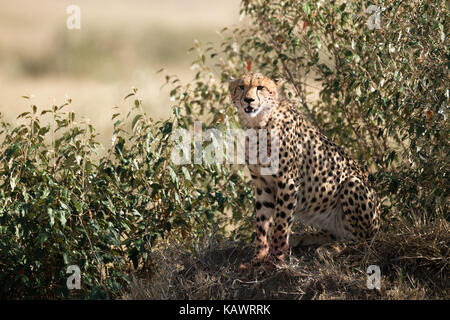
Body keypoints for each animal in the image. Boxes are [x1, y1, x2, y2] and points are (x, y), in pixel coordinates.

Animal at [229, 72, 380, 264]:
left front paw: (277, 255)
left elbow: (281, 222)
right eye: (241, 87)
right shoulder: (262, 183)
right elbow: (262, 222)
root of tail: (379, 225)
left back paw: (330, 249)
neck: (259, 123)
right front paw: (259, 256)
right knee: (336, 234)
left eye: (260, 87)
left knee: (361, 240)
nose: (248, 100)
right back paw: (301, 238)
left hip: (352, 184)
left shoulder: (288, 181)